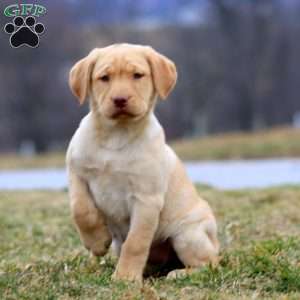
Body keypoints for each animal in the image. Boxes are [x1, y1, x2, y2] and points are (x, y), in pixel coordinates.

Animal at [67, 43, 219, 282]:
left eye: (137, 75)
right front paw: (97, 242)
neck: (116, 136)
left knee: (211, 264)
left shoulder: (146, 199)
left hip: (188, 235)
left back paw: (179, 273)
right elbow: (80, 209)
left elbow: (136, 243)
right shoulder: (77, 173)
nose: (120, 99)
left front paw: (126, 277)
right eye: (104, 78)